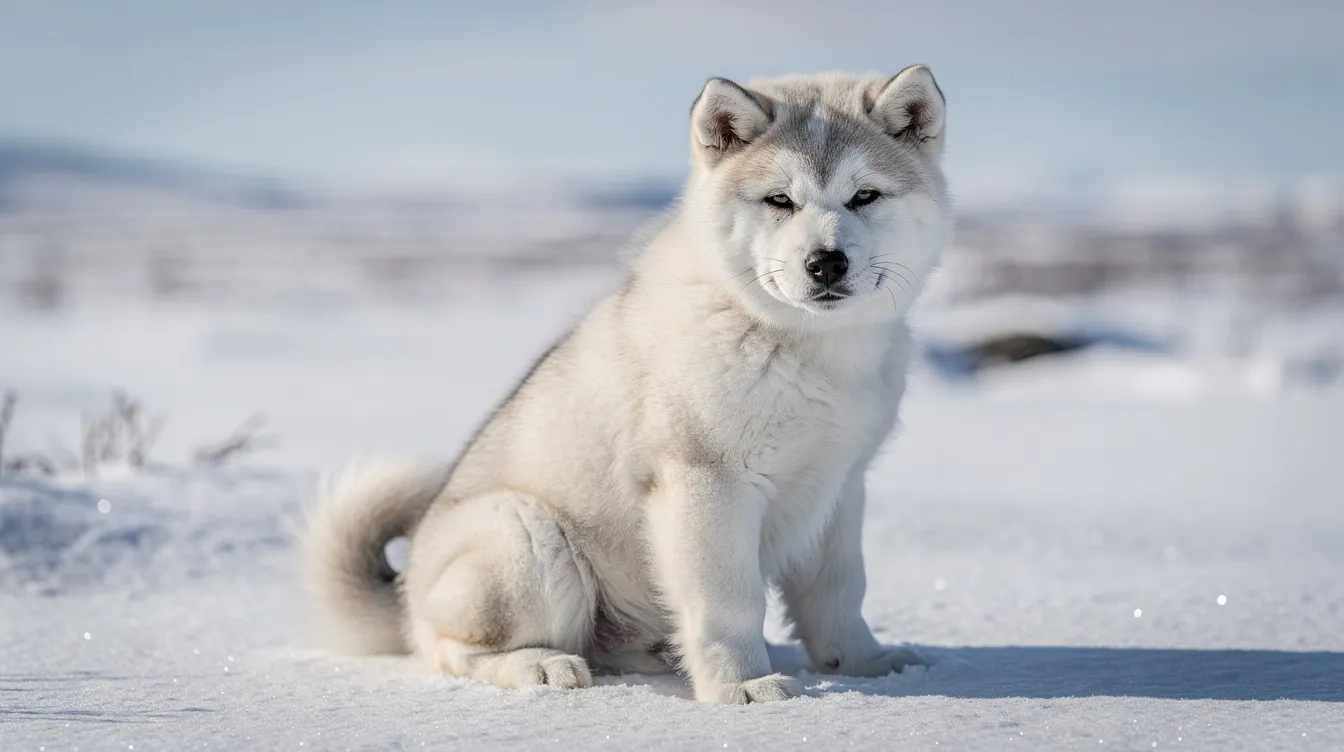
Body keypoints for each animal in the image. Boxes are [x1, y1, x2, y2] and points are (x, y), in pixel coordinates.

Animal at [303, 65, 951, 704]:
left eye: (864, 195)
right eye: (779, 200)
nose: (826, 263)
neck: (807, 350)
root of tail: (407, 594)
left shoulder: (839, 487)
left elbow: (839, 593)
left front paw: (864, 665)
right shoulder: (706, 483)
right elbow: (729, 604)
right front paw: (742, 686)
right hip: (532, 539)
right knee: (451, 650)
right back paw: (542, 667)